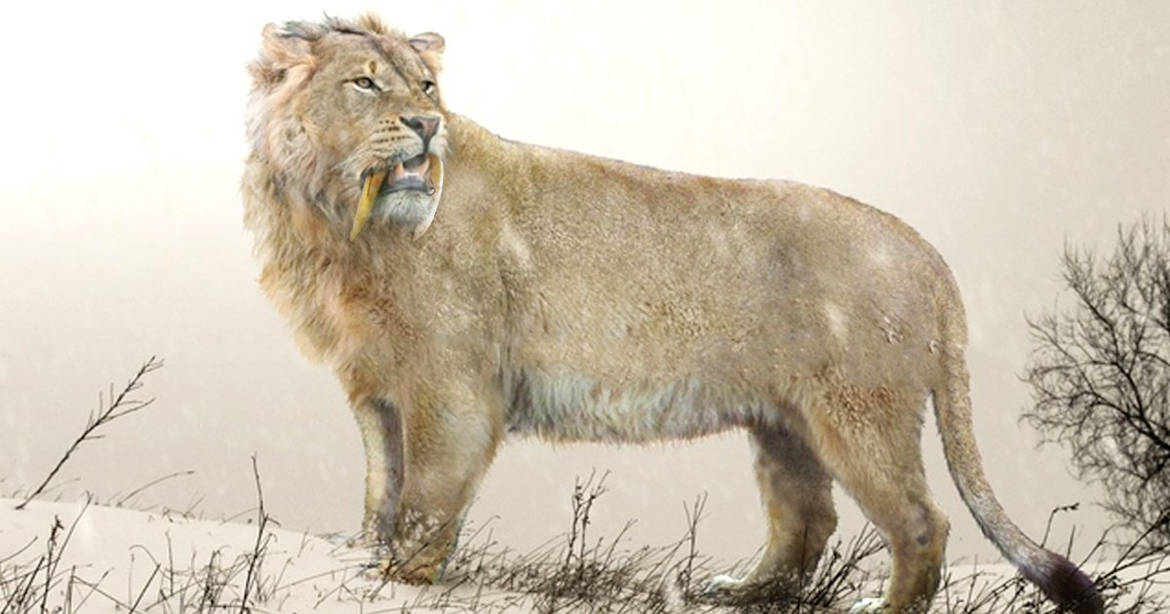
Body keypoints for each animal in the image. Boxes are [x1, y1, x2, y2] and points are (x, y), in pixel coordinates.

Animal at [241, 15, 1102, 614]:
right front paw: (367, 559)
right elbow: (380, 485)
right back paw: (739, 593)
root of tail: (925, 250)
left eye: (425, 87)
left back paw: (881, 607)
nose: (428, 127)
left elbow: (425, 496)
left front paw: (406, 577)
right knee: (807, 522)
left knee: (922, 523)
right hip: (784, 422)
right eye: (364, 84)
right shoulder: (374, 386)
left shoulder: (450, 387)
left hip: (861, 412)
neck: (339, 224)